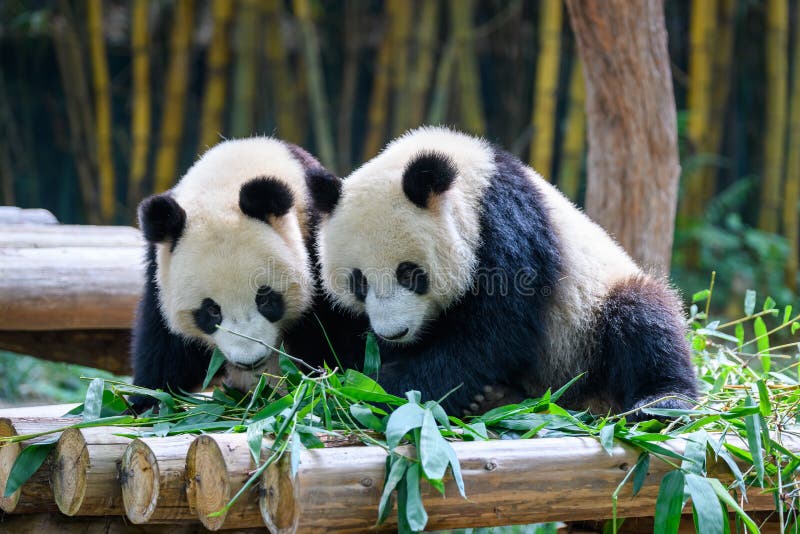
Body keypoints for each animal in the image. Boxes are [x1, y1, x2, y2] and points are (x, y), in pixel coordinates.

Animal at [132, 137, 367, 408]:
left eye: (264, 298)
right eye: (211, 310)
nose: (249, 360)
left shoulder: (317, 240)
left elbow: (338, 333)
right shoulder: (159, 268)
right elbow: (164, 346)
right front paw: (148, 401)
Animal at [307, 126, 697, 418]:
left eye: (409, 273)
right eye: (358, 281)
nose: (395, 332)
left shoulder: (506, 228)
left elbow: (491, 335)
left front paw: (378, 384)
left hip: (590, 319)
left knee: (643, 321)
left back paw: (662, 402)